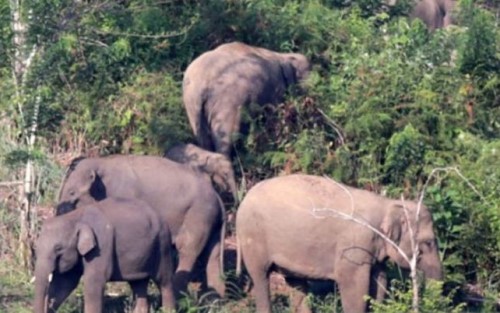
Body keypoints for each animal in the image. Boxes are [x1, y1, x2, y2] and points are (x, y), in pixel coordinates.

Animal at [32, 197, 174, 312]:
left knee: (164, 281)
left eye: (58, 248)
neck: (76, 217)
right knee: (138, 283)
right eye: (36, 248)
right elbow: (65, 283)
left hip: (162, 245)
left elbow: (94, 281)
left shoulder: (101, 245)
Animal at [55, 155, 226, 298]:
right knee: (213, 255)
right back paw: (216, 299)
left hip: (198, 214)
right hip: (211, 220)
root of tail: (218, 197)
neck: (101, 162)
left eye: (72, 193)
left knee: (187, 249)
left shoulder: (123, 194)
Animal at [182, 41, 310, 157]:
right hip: (227, 103)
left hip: (192, 107)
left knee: (203, 139)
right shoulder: (276, 89)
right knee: (226, 138)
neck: (282, 55)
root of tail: (201, 86)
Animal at [235, 173, 442, 312]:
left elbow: (380, 280)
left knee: (296, 283)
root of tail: (242, 201)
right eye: (428, 243)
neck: (387, 204)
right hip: (252, 238)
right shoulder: (353, 245)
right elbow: (353, 284)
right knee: (261, 277)